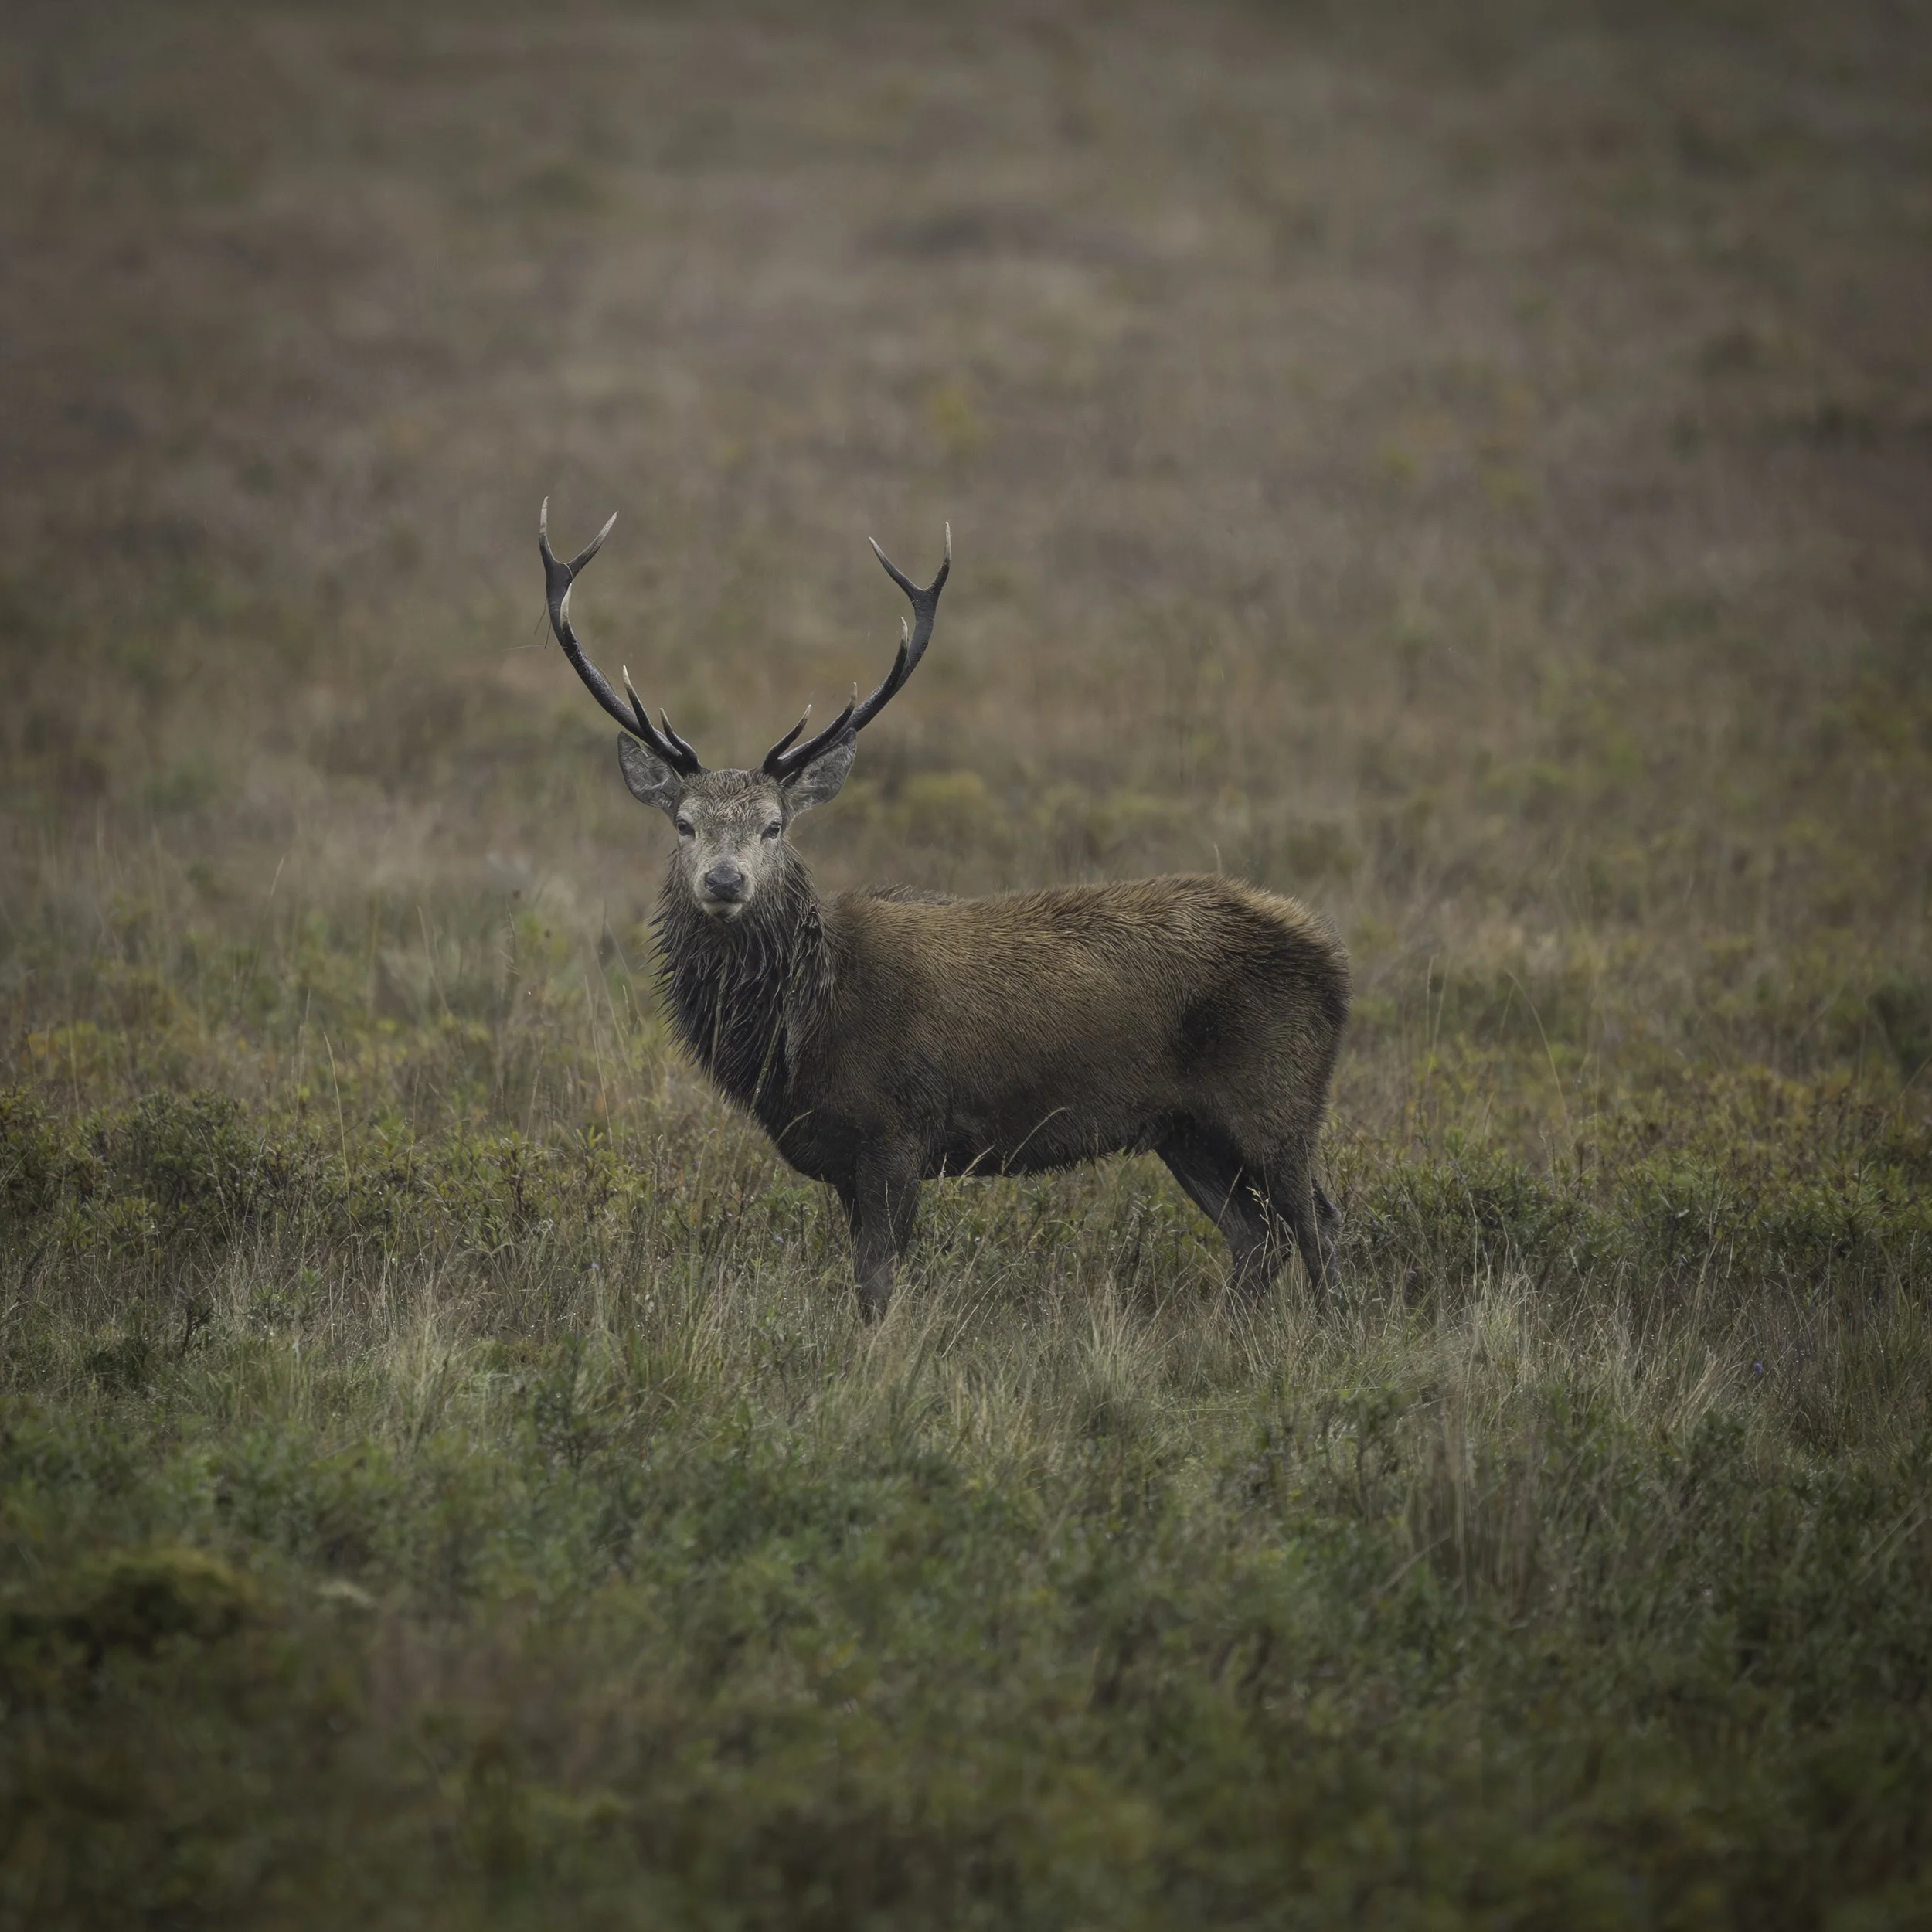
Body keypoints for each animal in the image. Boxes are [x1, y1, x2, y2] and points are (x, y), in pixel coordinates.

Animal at [539, 500, 1348, 1318]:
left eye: (775, 825)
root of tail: (1331, 957)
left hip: (1276, 1100)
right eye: (684, 823)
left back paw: (1328, 1332)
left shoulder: (899, 1130)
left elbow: (879, 1281)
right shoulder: (844, 1155)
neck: (802, 1024)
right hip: (1185, 1129)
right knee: (1258, 1237)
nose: (727, 881)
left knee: (1321, 1226)